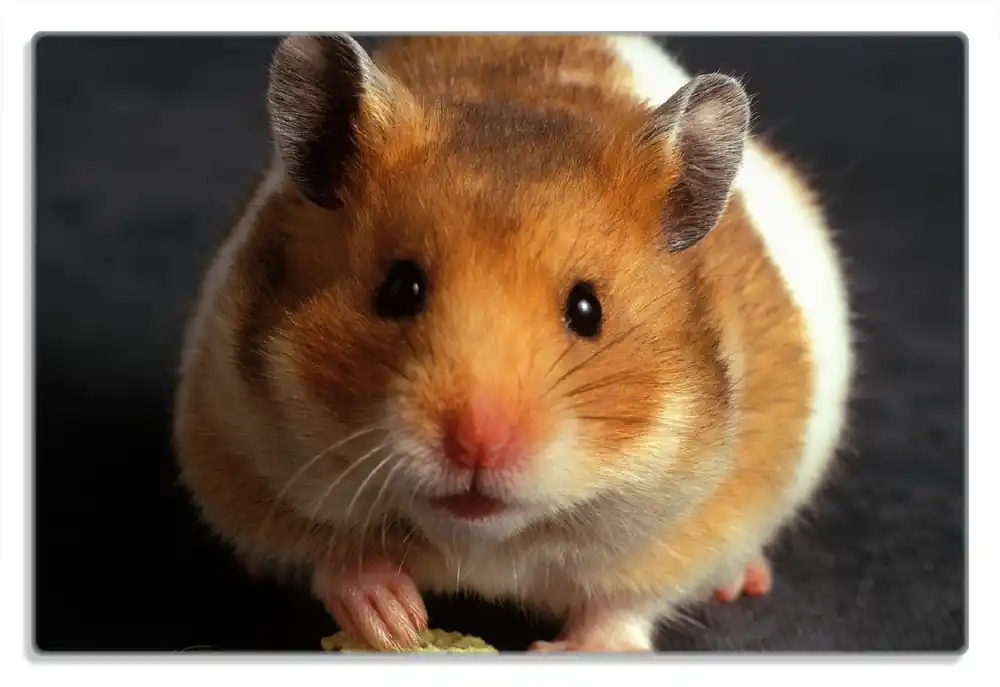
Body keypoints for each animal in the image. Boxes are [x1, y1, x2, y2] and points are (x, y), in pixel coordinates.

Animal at [173, 34, 854, 653]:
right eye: (399, 288)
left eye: (587, 310)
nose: (478, 445)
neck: (482, 537)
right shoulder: (232, 444)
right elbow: (330, 554)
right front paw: (395, 621)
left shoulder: (701, 520)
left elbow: (624, 605)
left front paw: (566, 651)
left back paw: (743, 580)